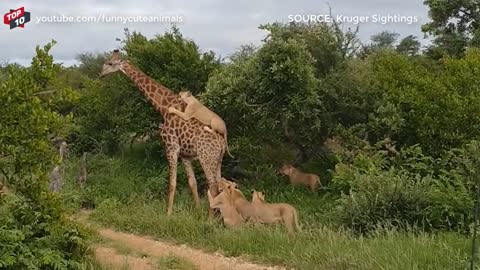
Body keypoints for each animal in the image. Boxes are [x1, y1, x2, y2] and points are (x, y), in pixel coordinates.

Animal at [100, 49, 227, 216]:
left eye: (109, 63)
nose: (100, 74)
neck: (163, 107)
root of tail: (223, 144)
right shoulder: (185, 155)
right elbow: (192, 182)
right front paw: (197, 211)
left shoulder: (171, 147)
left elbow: (172, 182)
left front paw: (168, 214)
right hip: (218, 160)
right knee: (219, 184)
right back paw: (219, 216)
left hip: (206, 158)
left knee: (212, 187)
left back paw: (210, 218)